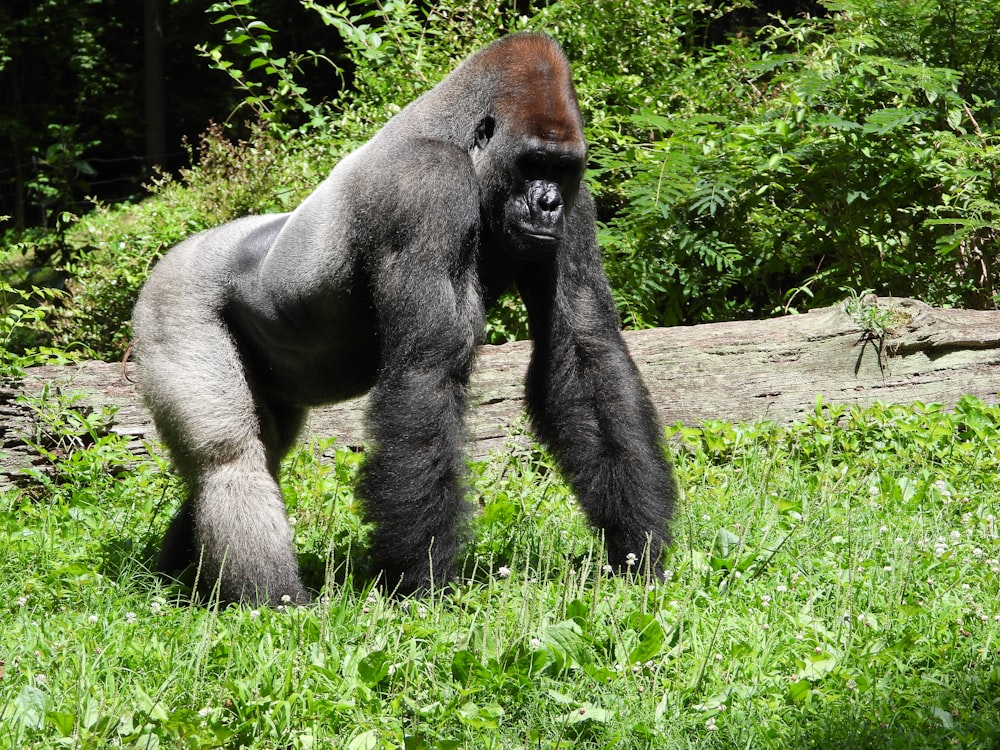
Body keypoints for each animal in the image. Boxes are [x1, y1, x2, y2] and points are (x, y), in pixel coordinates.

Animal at [133, 32, 676, 604]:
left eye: (562, 169)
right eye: (532, 163)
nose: (548, 203)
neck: (463, 145)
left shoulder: (577, 203)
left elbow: (583, 349)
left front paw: (636, 547)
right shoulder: (427, 186)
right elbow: (426, 369)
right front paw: (424, 578)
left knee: (257, 454)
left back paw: (177, 578)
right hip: (173, 300)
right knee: (230, 461)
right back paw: (273, 601)